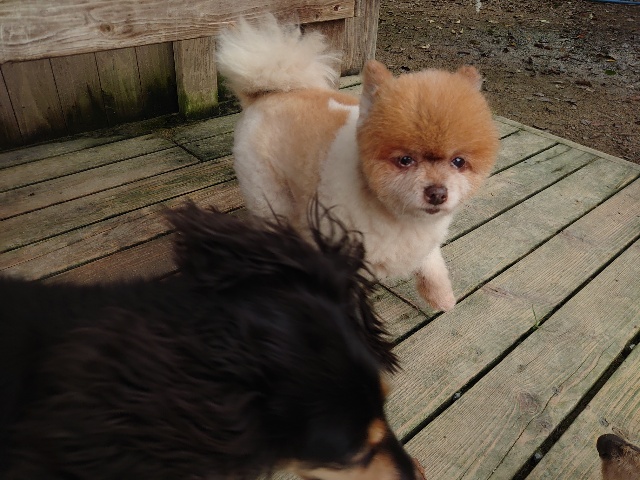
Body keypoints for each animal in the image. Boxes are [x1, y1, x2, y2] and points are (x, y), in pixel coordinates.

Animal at [216, 15, 499, 312]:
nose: (437, 193)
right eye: (405, 160)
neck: (395, 214)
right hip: (270, 194)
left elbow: (433, 264)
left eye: (458, 161)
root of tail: (268, 94)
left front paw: (441, 296)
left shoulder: (424, 243)